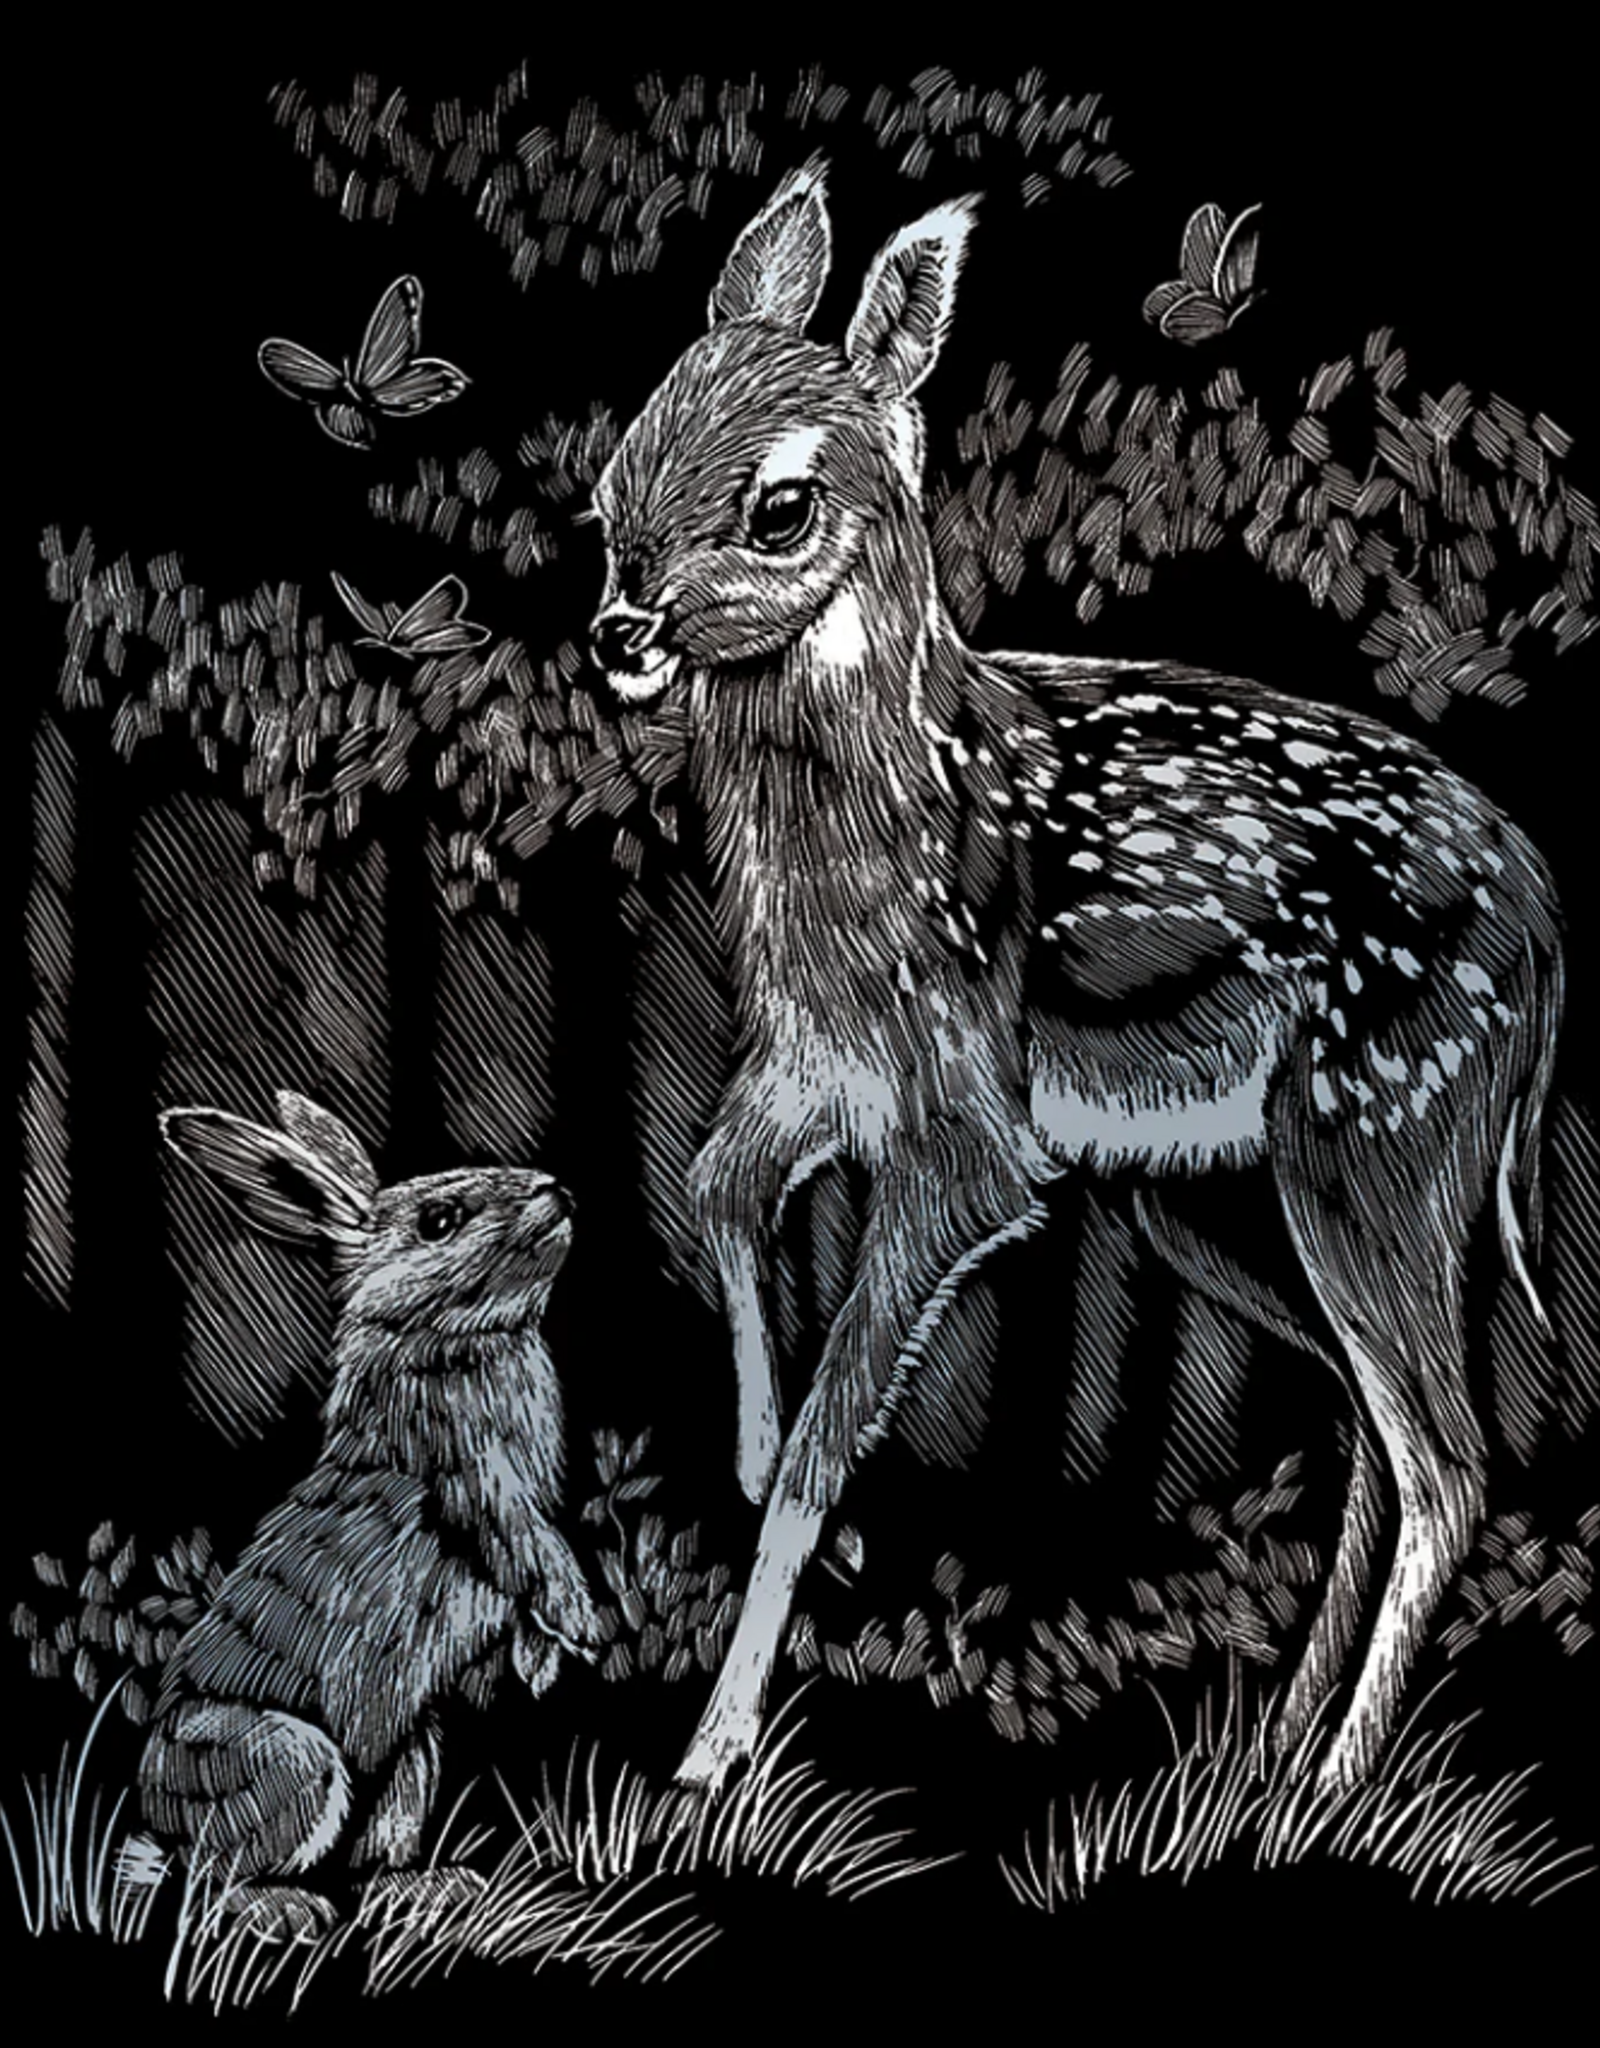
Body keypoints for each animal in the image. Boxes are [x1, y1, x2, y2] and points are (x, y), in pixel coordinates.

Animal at [130, 1091, 604, 1938]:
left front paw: (539, 1663)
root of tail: (157, 1813)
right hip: (291, 1761)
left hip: (410, 1759)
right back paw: (287, 1910)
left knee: (371, 1852)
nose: (558, 1193)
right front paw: (581, 1630)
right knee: (213, 1879)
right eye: (440, 1220)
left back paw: (430, 1891)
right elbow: (528, 1544)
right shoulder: (477, 1480)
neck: (446, 1333)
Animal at [585, 160, 1564, 1796]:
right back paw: (1272, 1748)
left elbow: (830, 1434)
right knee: (1373, 1421)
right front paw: (767, 1469)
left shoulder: (967, 1120)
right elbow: (713, 1188)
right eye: (609, 495)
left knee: (1450, 1455)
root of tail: (1552, 938)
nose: (617, 632)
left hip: (1384, 1129)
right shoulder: (808, 1063)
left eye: (779, 507)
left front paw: (711, 1752)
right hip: (1214, 1194)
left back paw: (1334, 1780)